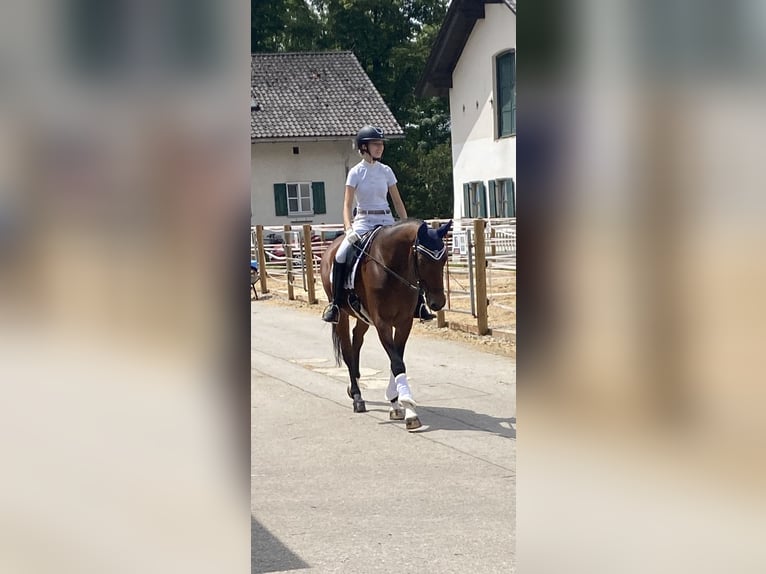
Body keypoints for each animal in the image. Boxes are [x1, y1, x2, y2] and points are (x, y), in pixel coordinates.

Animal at [320, 219, 452, 430]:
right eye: (423, 259)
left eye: (445, 258)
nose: (437, 303)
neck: (392, 267)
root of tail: (331, 248)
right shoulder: (383, 323)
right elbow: (397, 363)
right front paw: (409, 409)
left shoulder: (404, 322)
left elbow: (396, 359)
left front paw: (395, 402)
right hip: (342, 315)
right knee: (348, 350)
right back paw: (357, 396)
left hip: (363, 317)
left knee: (357, 340)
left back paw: (355, 384)